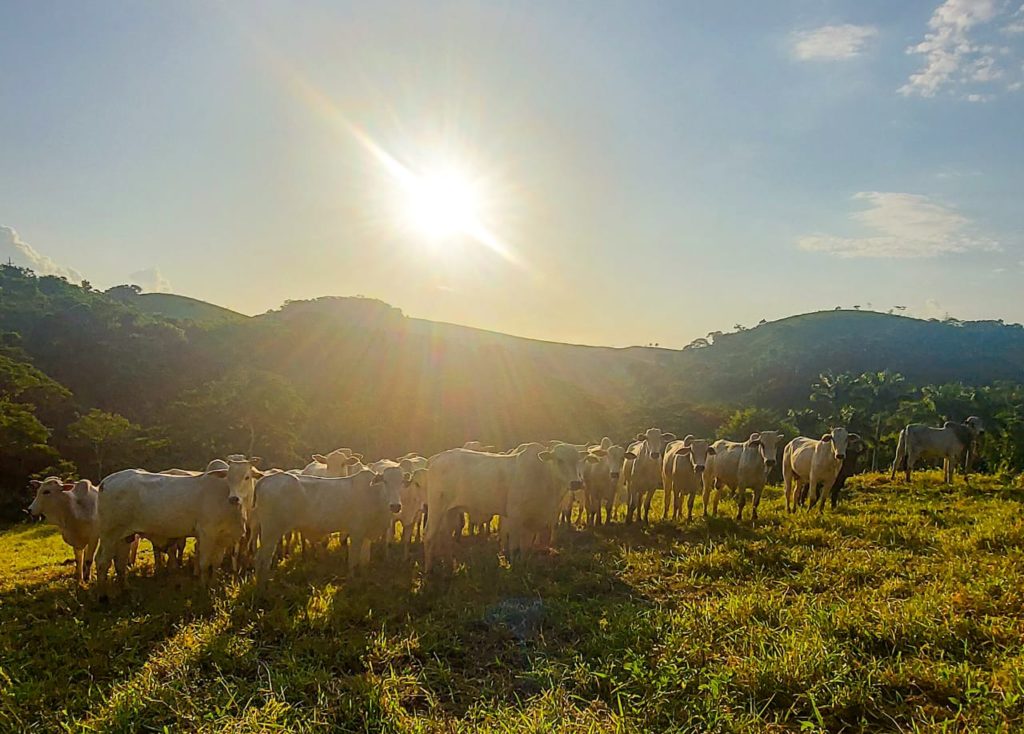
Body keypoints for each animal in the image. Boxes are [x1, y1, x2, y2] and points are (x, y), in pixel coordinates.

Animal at [96, 454, 262, 593]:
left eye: (247, 477)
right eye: (228, 477)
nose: (234, 498)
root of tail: (105, 482)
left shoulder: (223, 538)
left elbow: (215, 563)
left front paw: (213, 584)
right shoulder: (206, 534)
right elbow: (204, 563)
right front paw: (203, 587)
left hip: (125, 536)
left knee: (120, 562)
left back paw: (125, 588)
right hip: (109, 535)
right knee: (102, 562)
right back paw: (103, 596)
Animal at [251, 466, 403, 581]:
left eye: (402, 482)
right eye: (385, 482)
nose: (395, 506)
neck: (375, 495)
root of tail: (266, 479)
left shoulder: (366, 535)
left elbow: (364, 561)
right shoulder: (356, 532)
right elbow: (353, 561)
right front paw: (352, 580)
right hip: (271, 532)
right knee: (262, 559)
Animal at [423, 438, 598, 569]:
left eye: (581, 460)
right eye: (560, 460)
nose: (576, 483)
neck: (544, 478)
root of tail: (436, 458)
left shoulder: (532, 521)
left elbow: (526, 547)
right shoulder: (514, 516)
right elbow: (514, 547)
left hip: (451, 510)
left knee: (445, 536)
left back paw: (450, 565)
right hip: (436, 507)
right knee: (429, 536)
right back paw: (428, 570)